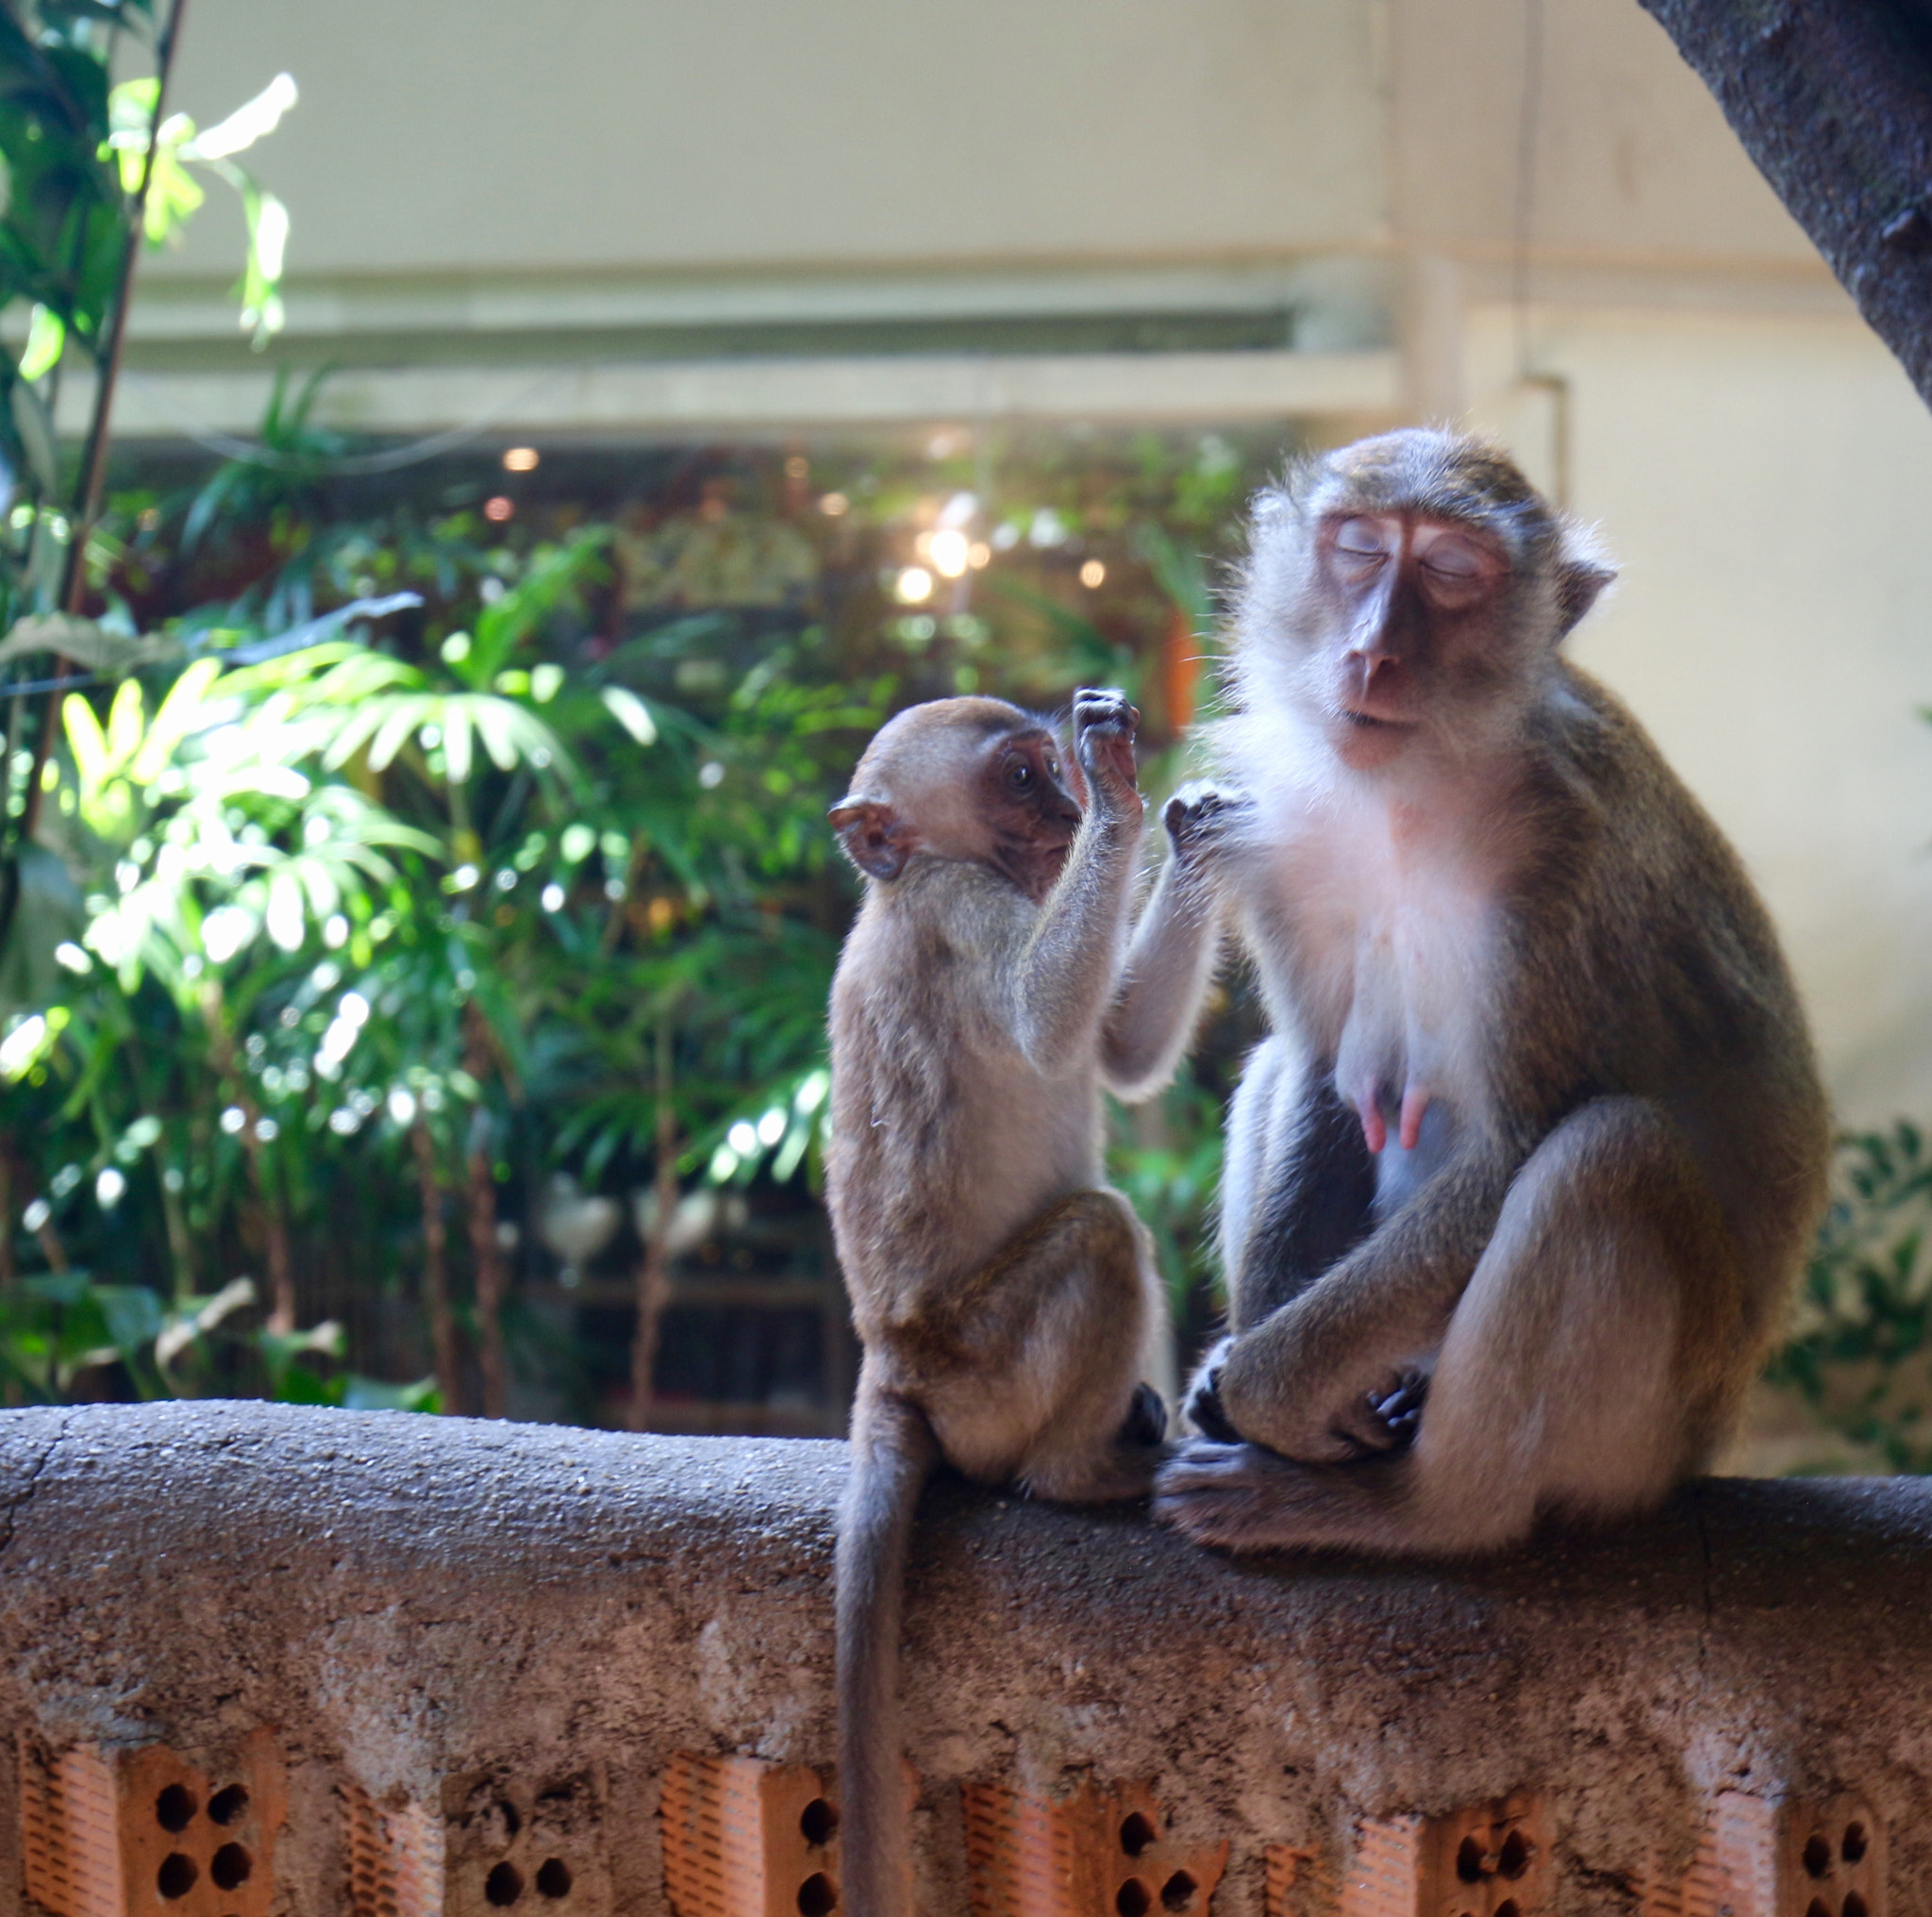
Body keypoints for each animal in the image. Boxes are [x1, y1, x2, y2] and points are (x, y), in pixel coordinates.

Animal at [825, 689, 1230, 1917]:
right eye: (1018, 777)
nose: (1061, 810)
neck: (907, 876)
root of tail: (888, 1359)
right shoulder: (964, 907)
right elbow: (1052, 1026)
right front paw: (1121, 790)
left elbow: (1117, 1046)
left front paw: (1190, 826)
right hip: (980, 1371)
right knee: (1100, 1232)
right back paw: (1083, 1471)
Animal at [1149, 426, 1830, 1558]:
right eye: (1358, 547)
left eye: (1451, 571)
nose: (1372, 651)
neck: (1411, 791)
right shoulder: (1288, 840)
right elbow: (1324, 1075)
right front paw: (1235, 1377)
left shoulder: (1559, 861)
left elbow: (1513, 1146)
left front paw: (1263, 1395)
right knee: (1279, 1064)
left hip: (1643, 1441)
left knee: (1606, 1158)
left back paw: (1414, 1510)